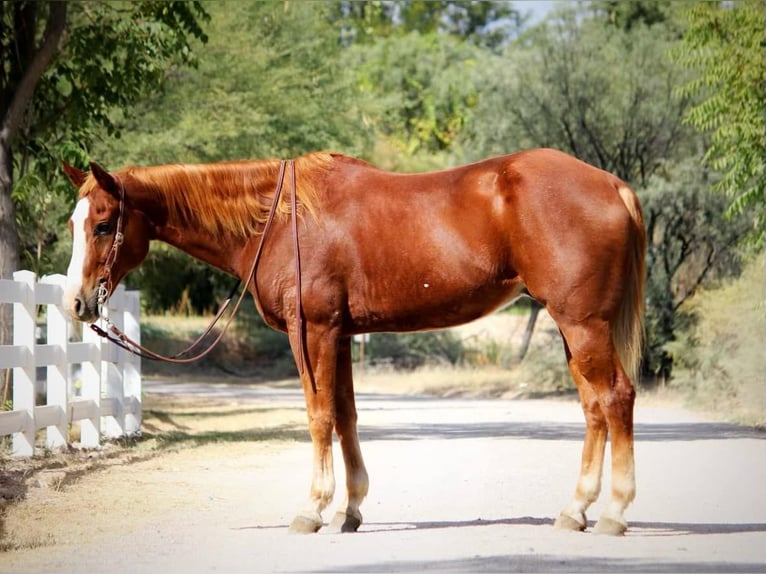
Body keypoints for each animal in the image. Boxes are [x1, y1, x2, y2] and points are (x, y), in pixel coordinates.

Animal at [61, 147, 648, 536]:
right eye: (73, 223)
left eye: (104, 225)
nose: (78, 303)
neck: (280, 219)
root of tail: (612, 186)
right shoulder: (339, 336)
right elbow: (345, 415)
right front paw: (351, 510)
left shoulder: (314, 332)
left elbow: (319, 416)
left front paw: (313, 509)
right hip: (574, 328)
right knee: (594, 407)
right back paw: (575, 510)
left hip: (583, 323)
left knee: (615, 398)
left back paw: (615, 512)